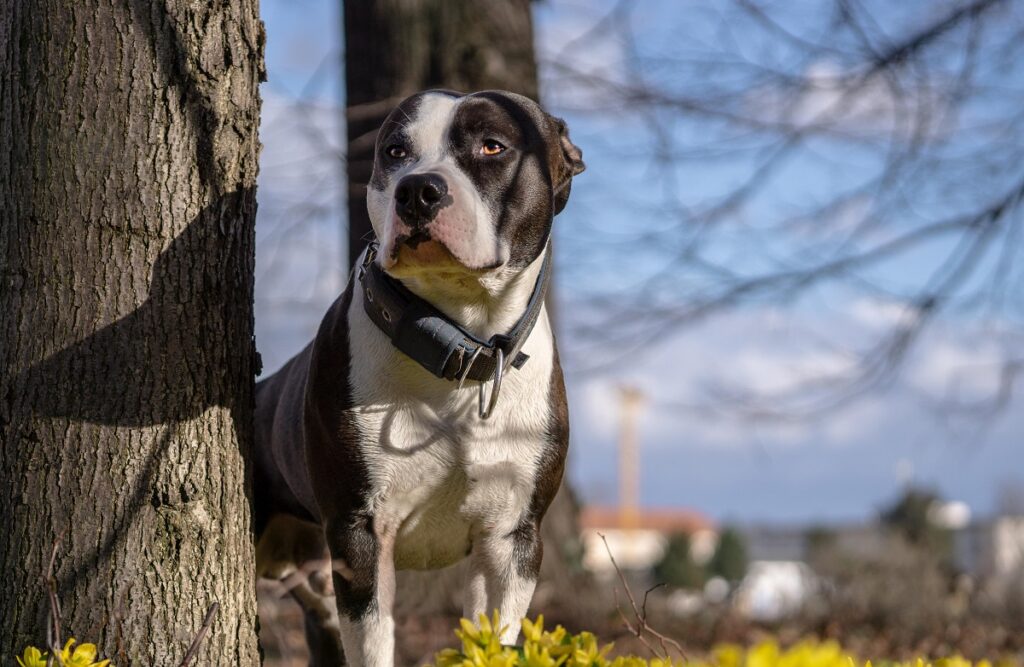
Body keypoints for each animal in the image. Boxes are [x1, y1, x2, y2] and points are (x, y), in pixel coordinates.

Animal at [251, 90, 585, 667]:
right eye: (395, 152)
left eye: (492, 146)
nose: (418, 189)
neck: (459, 348)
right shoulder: (361, 534)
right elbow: (374, 646)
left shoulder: (510, 541)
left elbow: (492, 639)